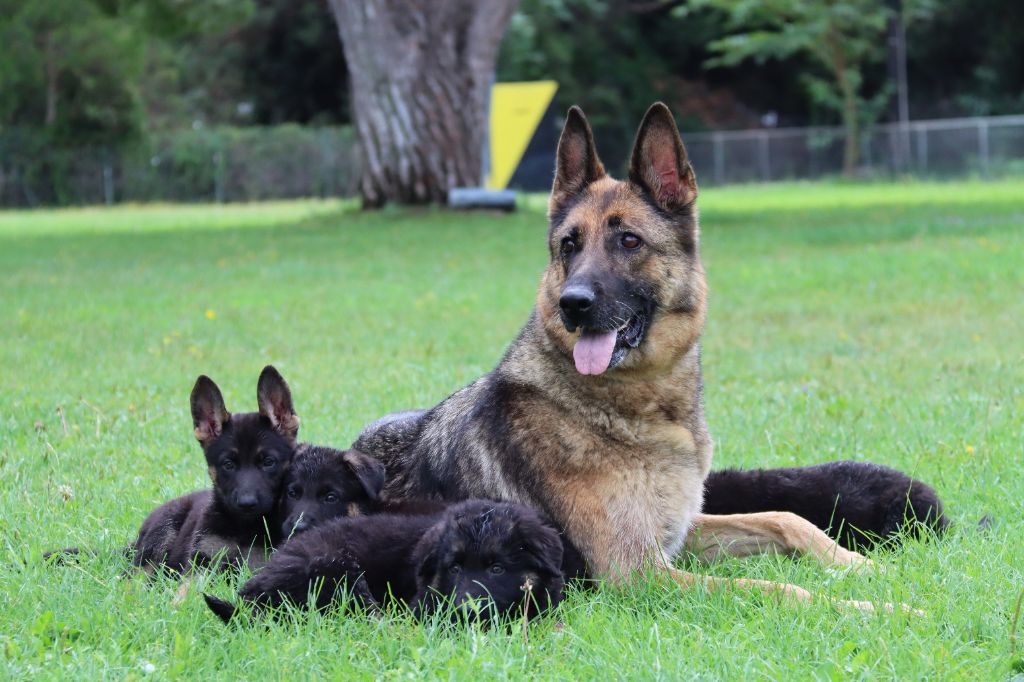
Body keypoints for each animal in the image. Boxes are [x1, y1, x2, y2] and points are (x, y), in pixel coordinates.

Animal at [130, 364, 299, 569]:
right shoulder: (201, 562)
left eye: (268, 462)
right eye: (228, 465)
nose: (247, 504)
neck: (244, 528)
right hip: (163, 533)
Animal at [354, 104, 913, 610]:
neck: (638, 409)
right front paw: (876, 608)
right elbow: (773, 587)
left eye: (629, 241)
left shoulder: (679, 533)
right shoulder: (640, 572)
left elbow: (785, 518)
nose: (573, 304)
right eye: (569, 246)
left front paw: (865, 566)